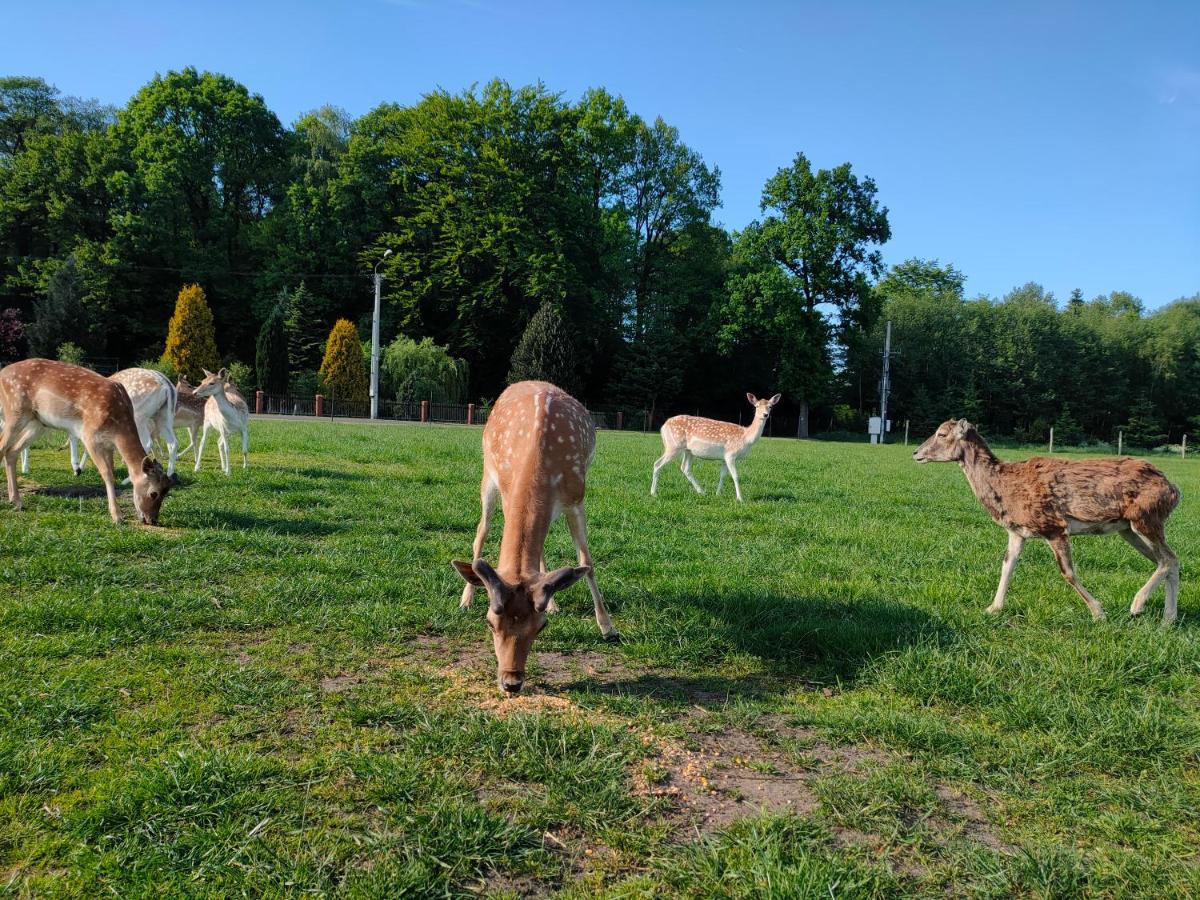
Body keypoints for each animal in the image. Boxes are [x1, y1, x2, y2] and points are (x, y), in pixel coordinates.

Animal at [0, 360, 174, 525]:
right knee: (3, 446)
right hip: (15, 411)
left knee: (11, 451)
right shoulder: (89, 436)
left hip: (38, 423)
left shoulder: (108, 444)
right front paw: (117, 516)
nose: (152, 520)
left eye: (167, 492)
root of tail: (3, 372)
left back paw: (16, 501)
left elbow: (111, 470)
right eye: (153, 493)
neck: (117, 428)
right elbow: (107, 473)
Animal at [451, 381, 619, 696]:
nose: (511, 682)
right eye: (490, 622)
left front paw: (608, 628)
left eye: (541, 626)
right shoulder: (507, 493)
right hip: (487, 475)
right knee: (481, 532)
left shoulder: (576, 499)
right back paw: (465, 599)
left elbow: (586, 561)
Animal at [652, 393, 782, 504]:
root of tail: (663, 427)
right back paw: (653, 493)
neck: (746, 438)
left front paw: (718, 494)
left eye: (770, 406)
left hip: (688, 451)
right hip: (673, 445)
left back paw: (702, 491)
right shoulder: (730, 454)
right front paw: (740, 499)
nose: (765, 414)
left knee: (685, 468)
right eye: (757, 406)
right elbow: (735, 476)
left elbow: (723, 475)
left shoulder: (724, 457)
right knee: (657, 463)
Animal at [916, 422, 1180, 628]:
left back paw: (1138, 606)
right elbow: (1007, 566)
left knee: (1168, 558)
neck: (1006, 488)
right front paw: (992, 608)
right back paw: (1168, 620)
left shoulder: (1054, 526)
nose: (916, 453)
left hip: (1146, 518)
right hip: (1128, 529)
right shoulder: (1017, 532)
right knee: (1170, 560)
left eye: (941, 433)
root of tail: (1174, 490)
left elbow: (1068, 573)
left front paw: (1098, 613)